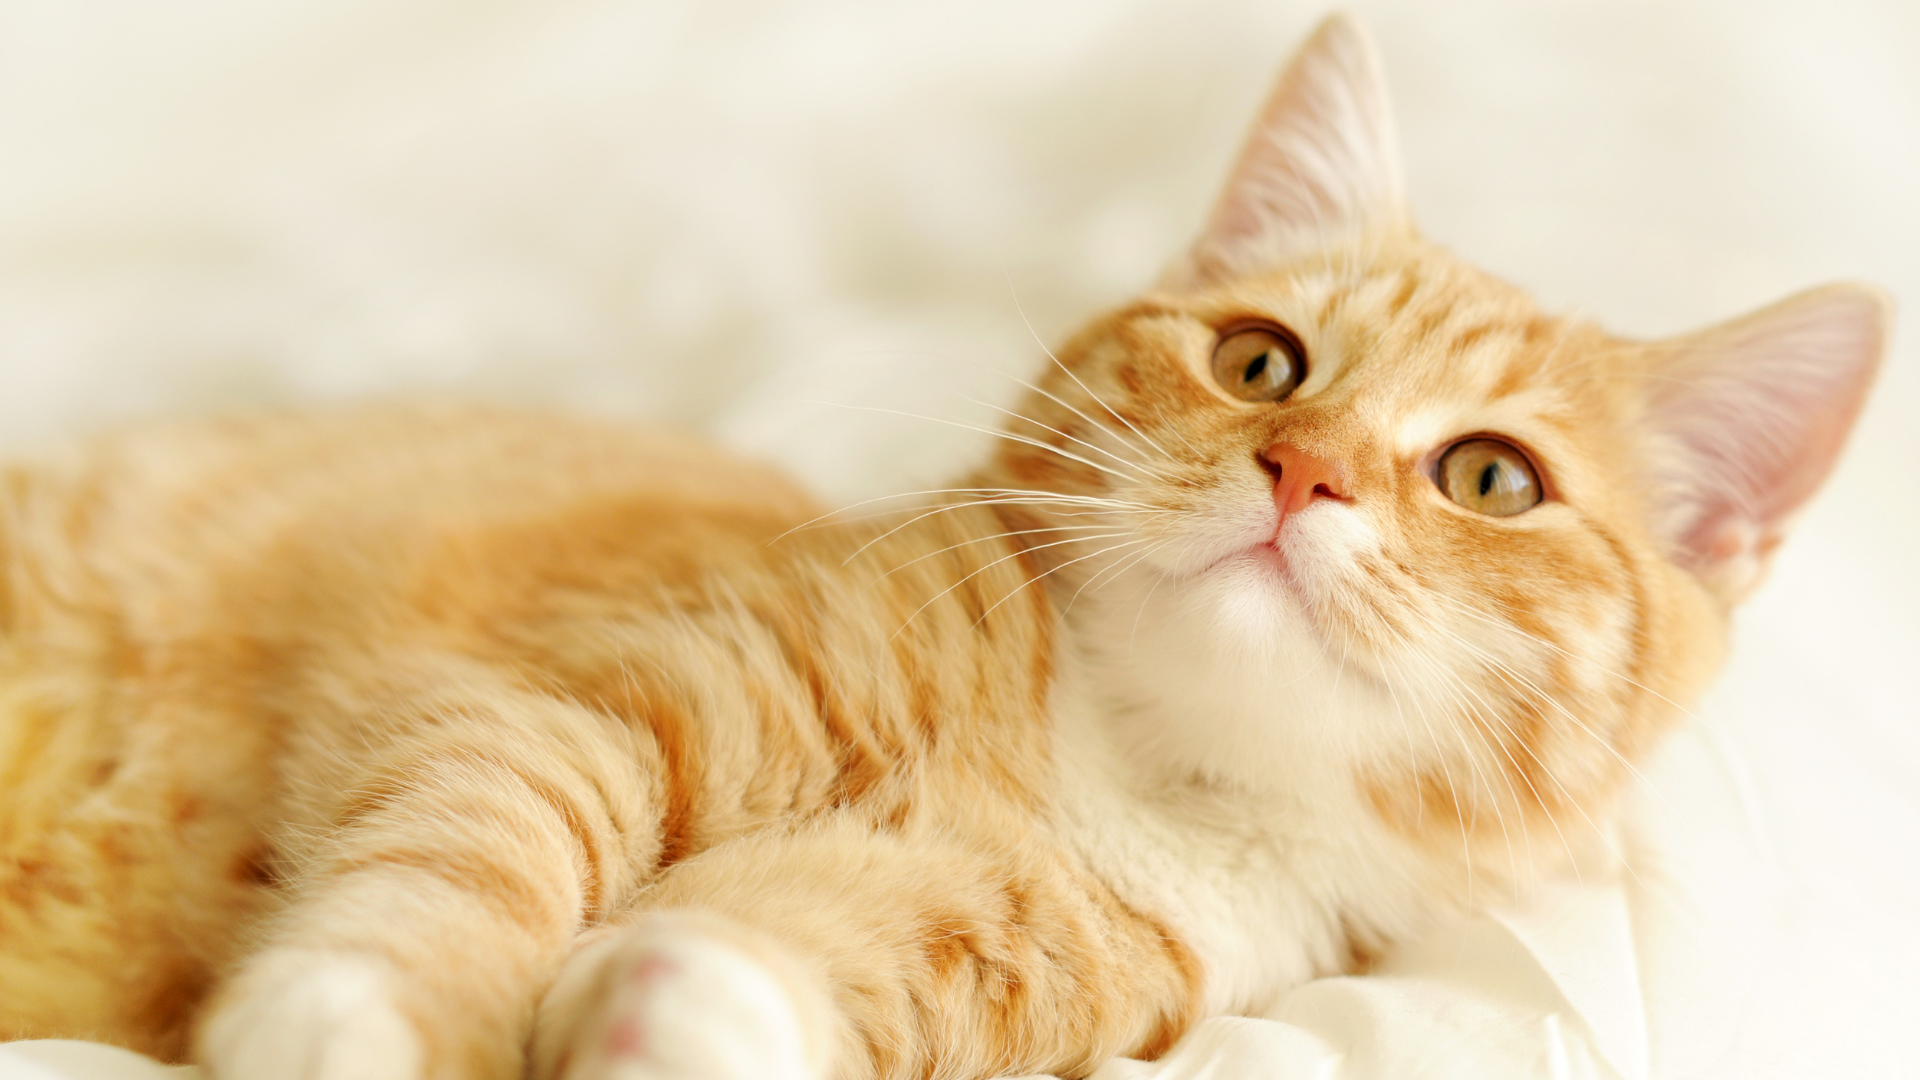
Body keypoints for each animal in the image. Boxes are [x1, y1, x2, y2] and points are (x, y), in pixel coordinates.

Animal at [0, 14, 1889, 1076]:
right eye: (1261, 364)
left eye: (1492, 480)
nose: (1301, 473)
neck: (1122, 762)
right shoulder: (553, 701)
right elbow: (471, 859)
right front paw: (379, 1019)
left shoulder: (1028, 951)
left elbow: (809, 963)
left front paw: (691, 1000)